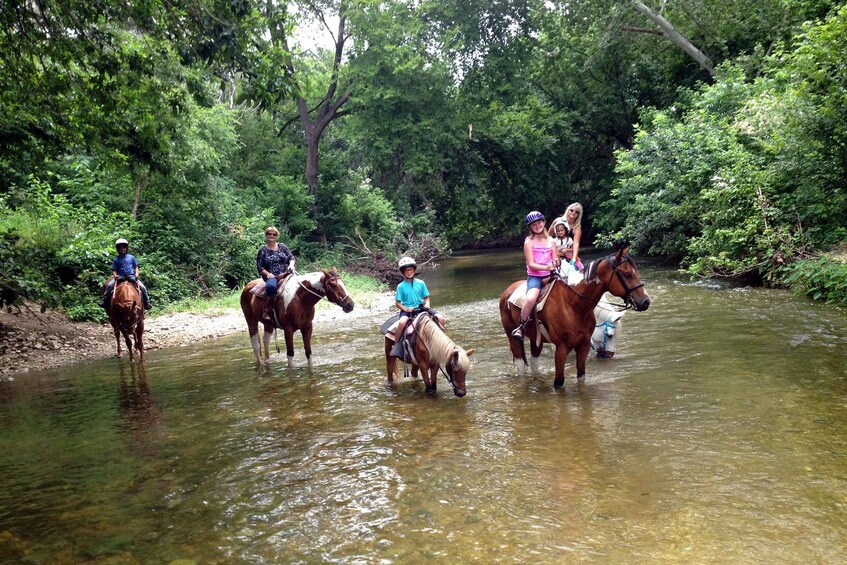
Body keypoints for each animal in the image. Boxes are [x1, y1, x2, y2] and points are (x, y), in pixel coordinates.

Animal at [500, 247, 652, 388]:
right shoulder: (561, 348)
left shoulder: (583, 345)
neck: (573, 304)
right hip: (512, 337)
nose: (645, 301)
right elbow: (559, 381)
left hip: (536, 339)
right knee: (520, 364)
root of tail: (508, 291)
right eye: (628, 274)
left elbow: (581, 377)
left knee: (534, 362)